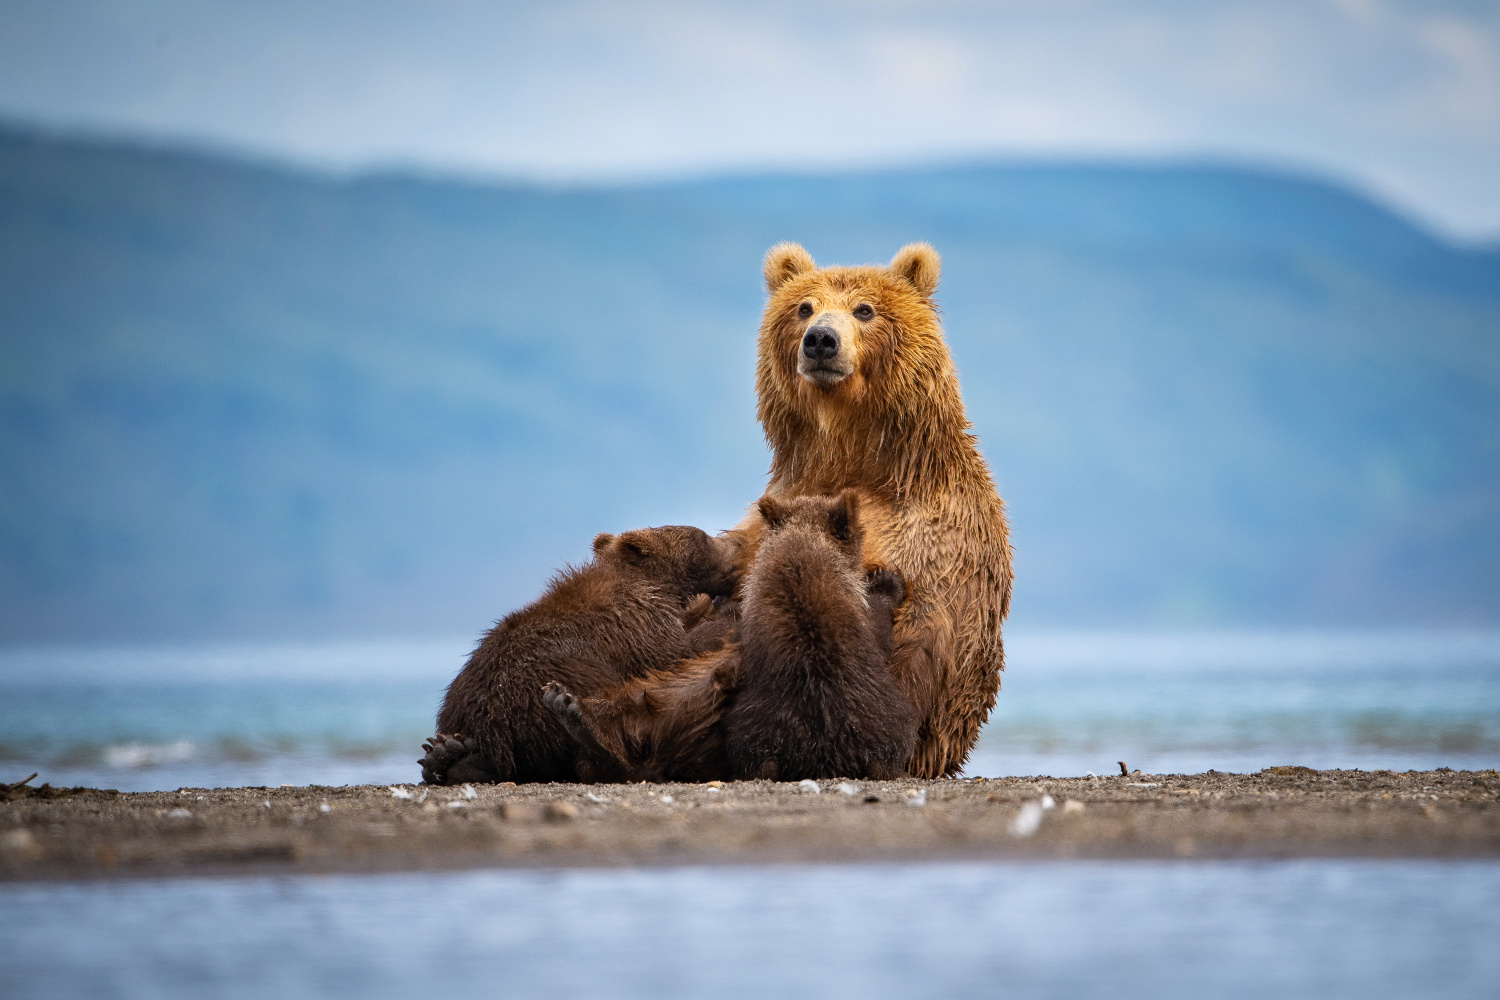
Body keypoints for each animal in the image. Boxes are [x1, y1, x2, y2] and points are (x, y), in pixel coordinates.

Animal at [420, 527, 735, 785]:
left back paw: (450, 756)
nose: (736, 547)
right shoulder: (636, 626)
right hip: (546, 694)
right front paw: (722, 618)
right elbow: (676, 653)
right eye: (702, 536)